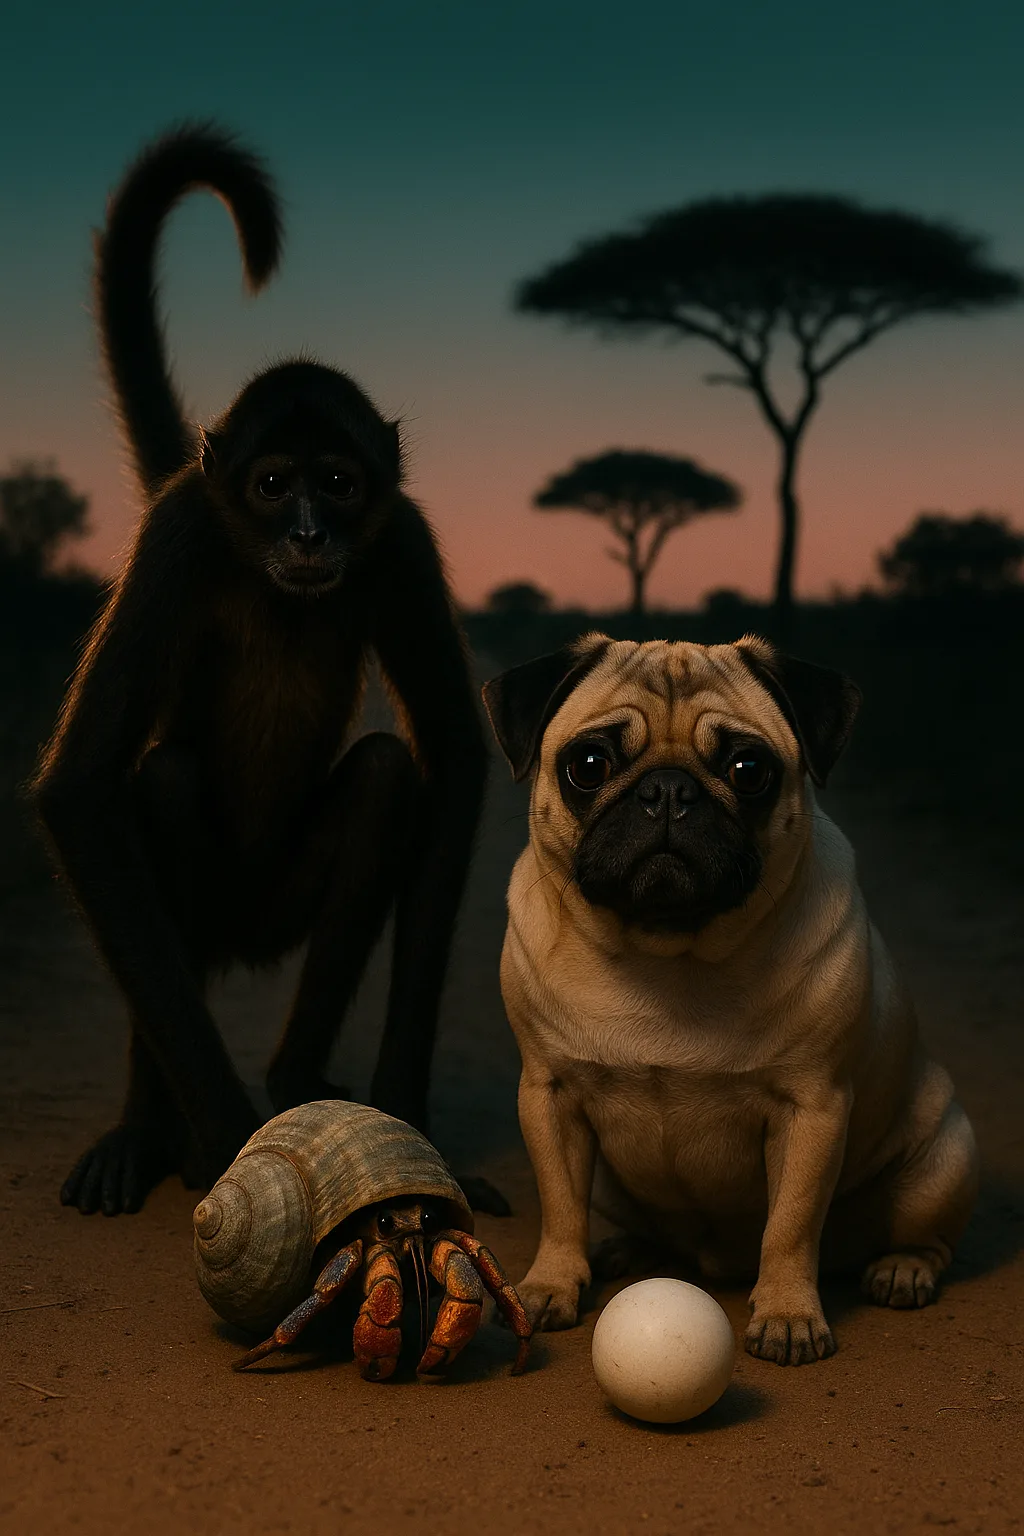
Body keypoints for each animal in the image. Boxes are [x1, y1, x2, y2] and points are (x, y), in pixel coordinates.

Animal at [30, 125, 495, 1217]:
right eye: (275, 484)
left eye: (339, 482)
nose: (310, 533)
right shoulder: (180, 531)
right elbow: (82, 789)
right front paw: (226, 1141)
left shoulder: (400, 540)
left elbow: (450, 756)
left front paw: (403, 1113)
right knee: (158, 782)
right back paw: (147, 1126)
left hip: (282, 901)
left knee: (382, 776)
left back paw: (292, 1077)